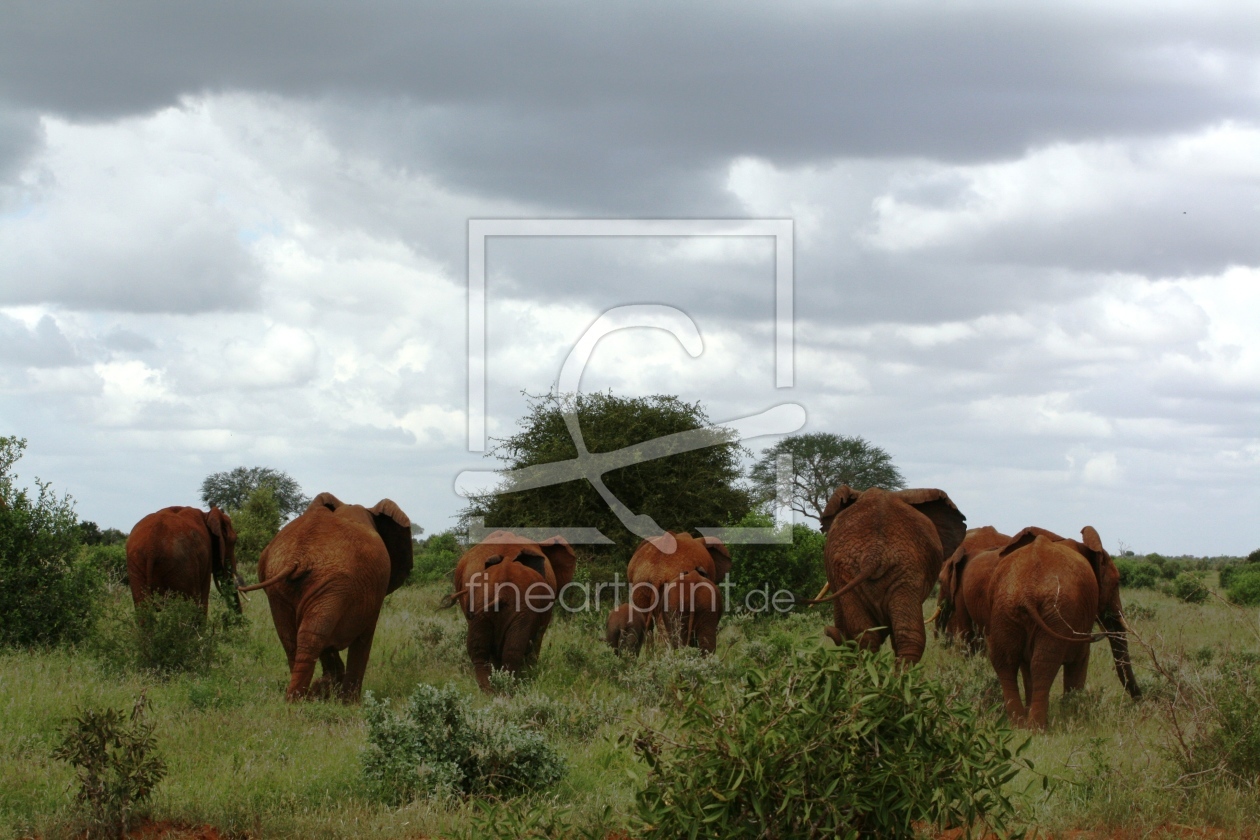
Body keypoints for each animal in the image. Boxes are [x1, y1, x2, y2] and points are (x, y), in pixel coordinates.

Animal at [238, 493, 410, 705]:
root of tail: (298, 556)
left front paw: (328, 688)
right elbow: (363, 640)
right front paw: (348, 703)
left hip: (285, 585)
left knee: (294, 639)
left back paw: (299, 697)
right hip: (333, 584)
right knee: (312, 637)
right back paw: (300, 699)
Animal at [982, 526, 1144, 730]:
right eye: (1116, 584)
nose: (1141, 700)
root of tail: (1027, 593)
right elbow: (1080, 658)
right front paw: (1073, 713)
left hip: (1004, 608)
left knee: (1006, 661)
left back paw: (1019, 724)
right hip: (1057, 612)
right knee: (1043, 663)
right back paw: (1037, 727)